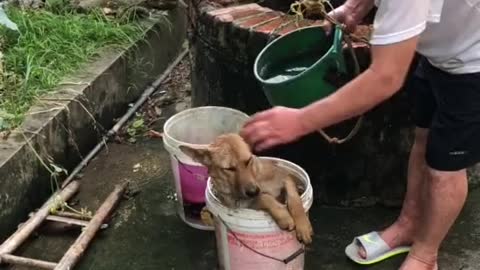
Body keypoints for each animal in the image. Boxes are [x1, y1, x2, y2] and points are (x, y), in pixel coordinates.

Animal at [178, 134, 314, 244]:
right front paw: (283, 215)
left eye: (248, 161)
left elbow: (294, 199)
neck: (257, 178)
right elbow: (264, 197)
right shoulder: (242, 203)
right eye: (229, 169)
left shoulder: (285, 177)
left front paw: (303, 225)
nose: (253, 191)